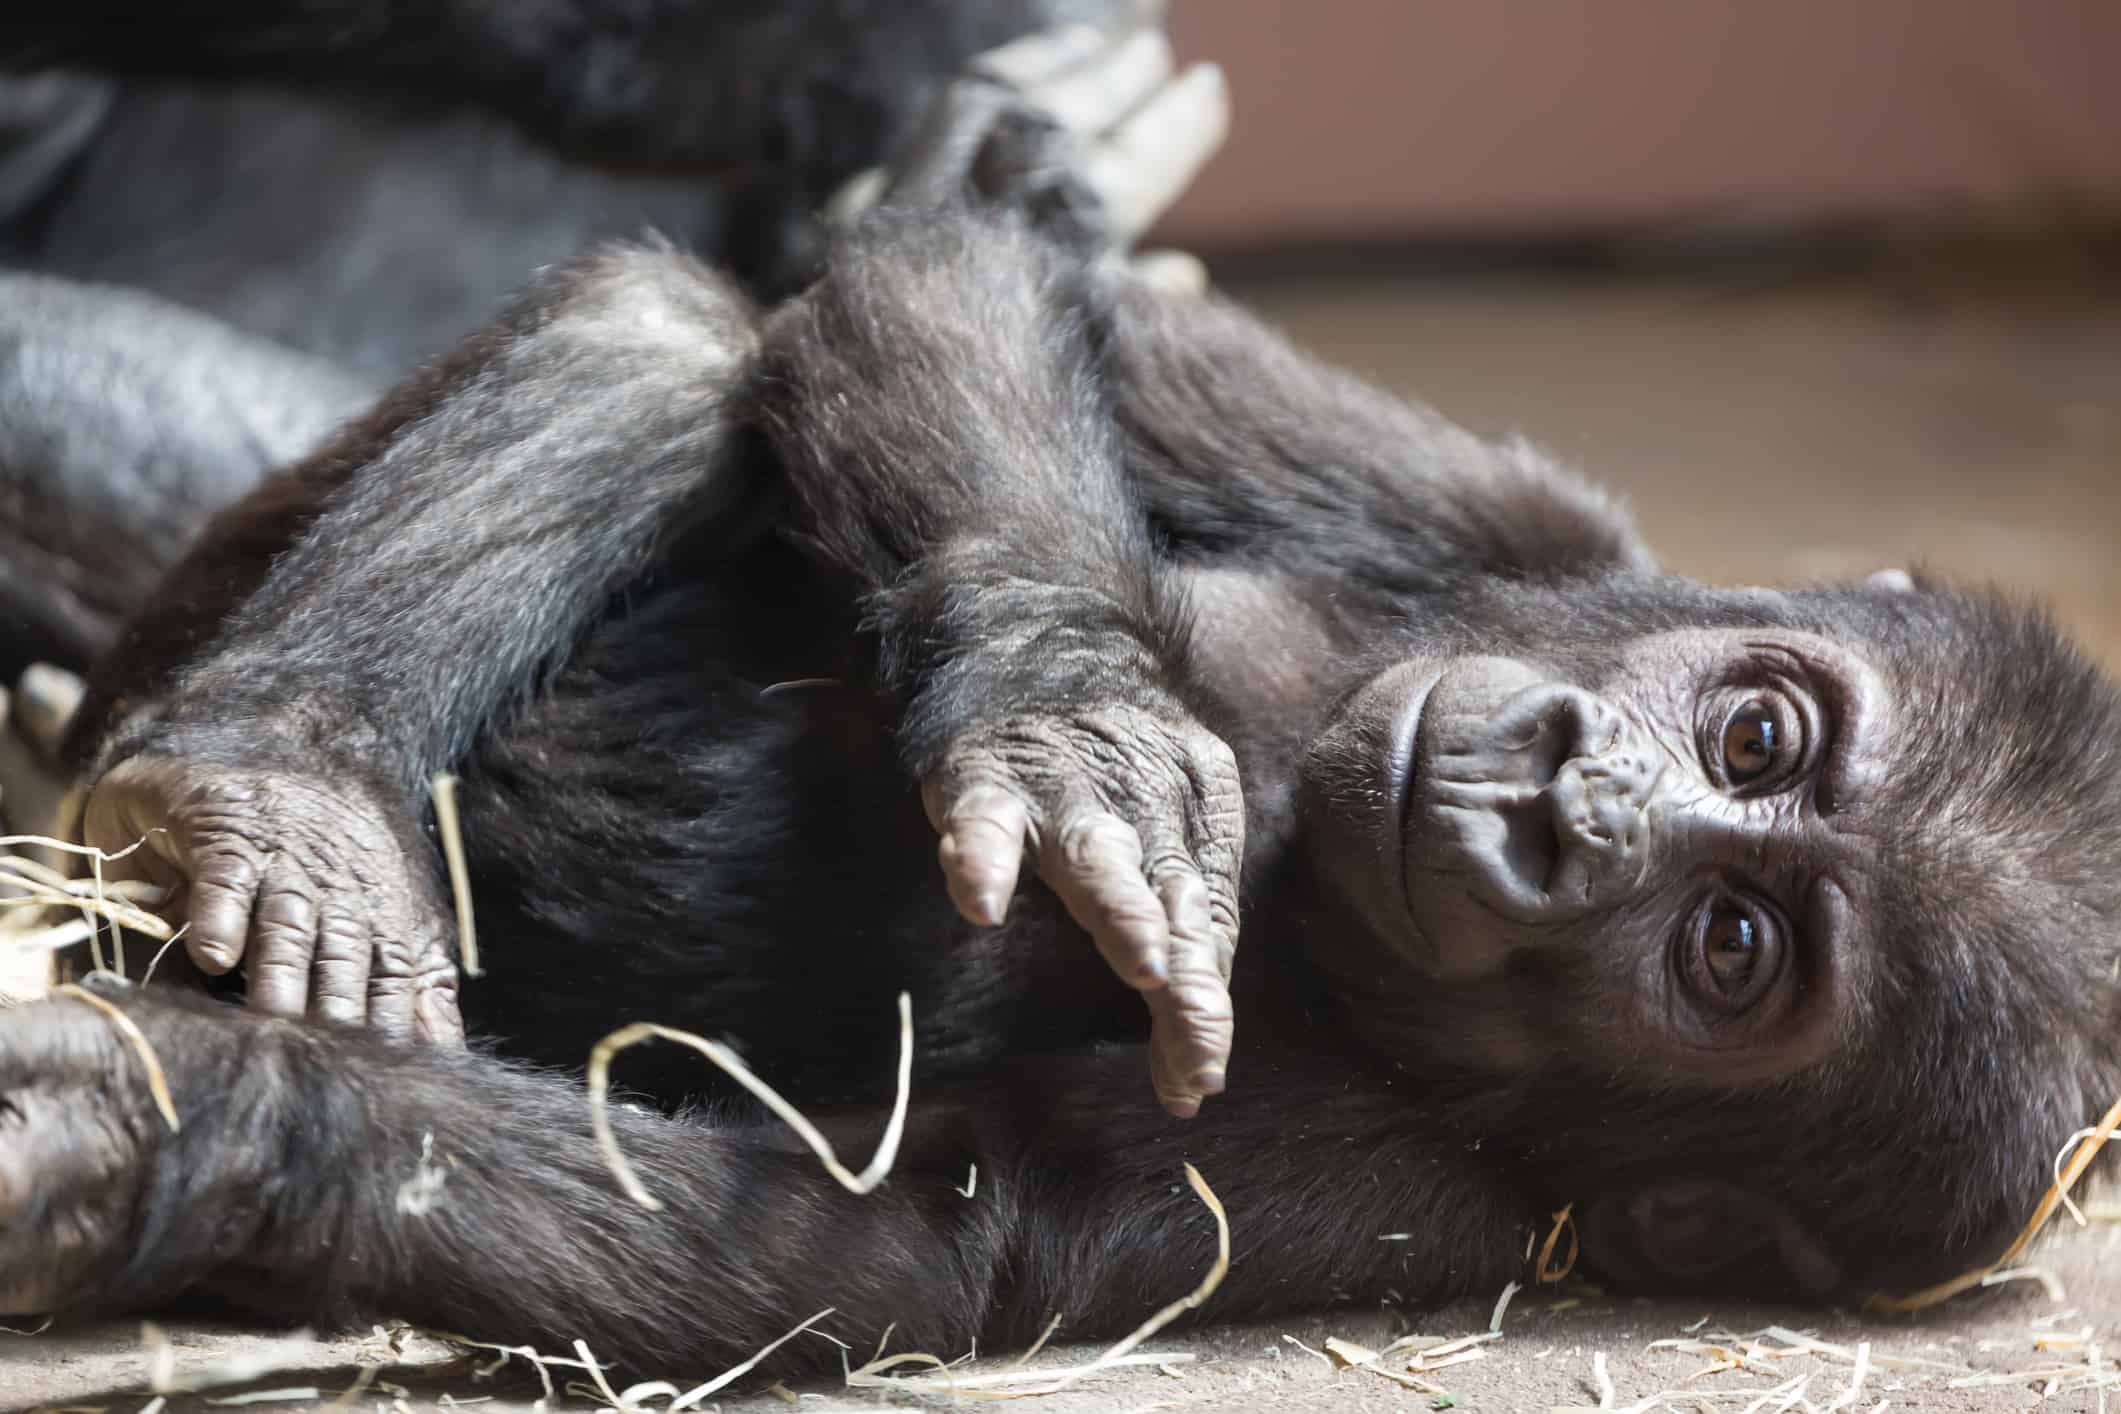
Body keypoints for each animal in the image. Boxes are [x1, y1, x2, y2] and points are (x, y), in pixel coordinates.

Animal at [2, 25, 2119, 1388]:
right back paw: (275, 785)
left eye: (1730, 948)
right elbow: (1015, 296)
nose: (1561, 806)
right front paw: (1069, 712)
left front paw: (177, 1121)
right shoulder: (1527, 531)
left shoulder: (1428, 1194)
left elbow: (885, 1230)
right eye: (1758, 736)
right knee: (689, 339)